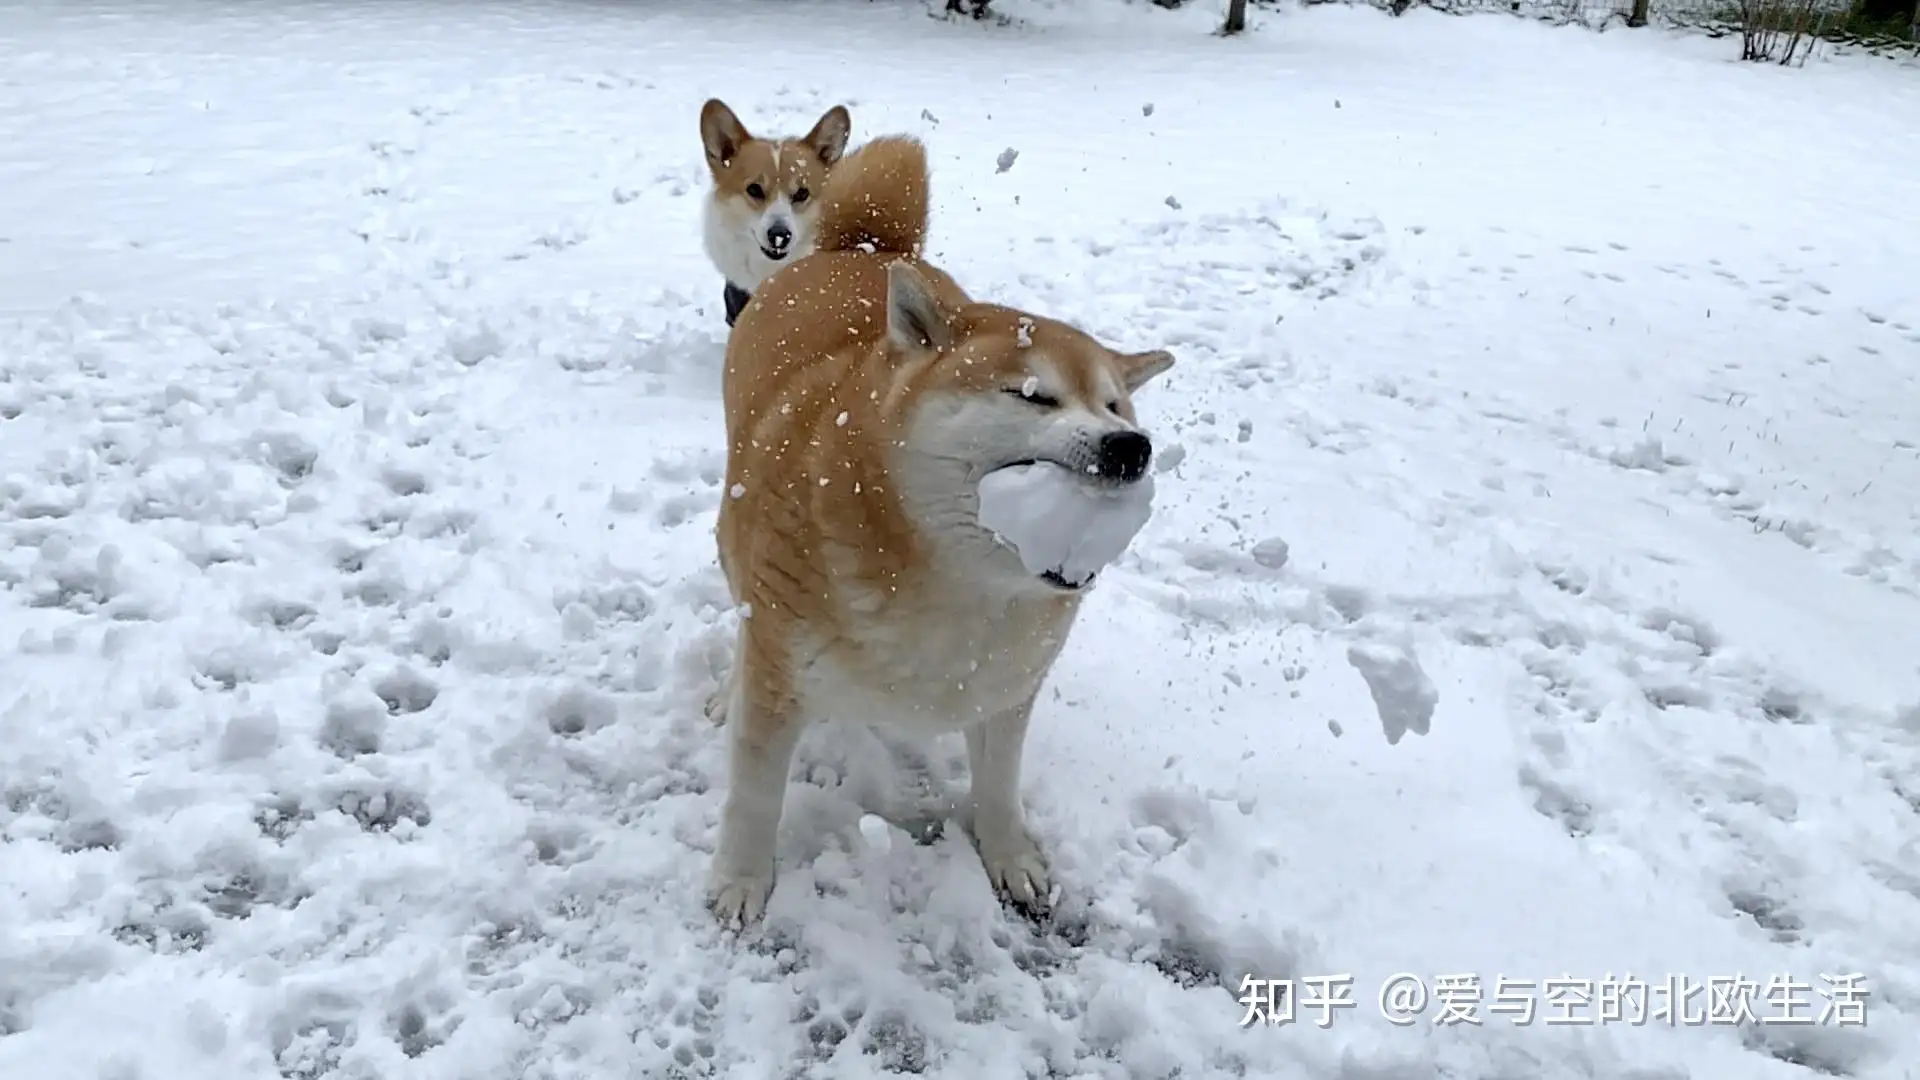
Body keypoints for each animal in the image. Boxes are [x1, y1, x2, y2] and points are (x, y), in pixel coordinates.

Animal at [706, 132, 1175, 926]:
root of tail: (863, 248)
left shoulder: (1007, 690)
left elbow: (998, 785)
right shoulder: (778, 675)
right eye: (1033, 395)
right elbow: (754, 796)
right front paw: (740, 881)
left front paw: (1010, 856)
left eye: (1115, 406)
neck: (951, 583)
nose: (1129, 447)